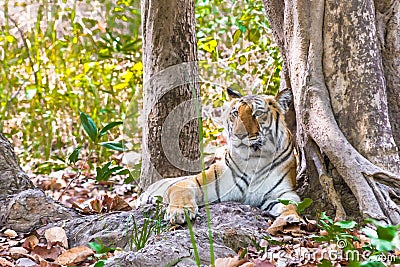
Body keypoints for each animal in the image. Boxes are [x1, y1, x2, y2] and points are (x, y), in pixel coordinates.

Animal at [138, 87, 300, 225]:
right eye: (236, 113)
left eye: (258, 113)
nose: (239, 135)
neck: (254, 160)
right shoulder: (200, 182)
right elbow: (181, 190)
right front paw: (179, 212)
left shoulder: (283, 192)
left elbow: (290, 205)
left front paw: (291, 217)